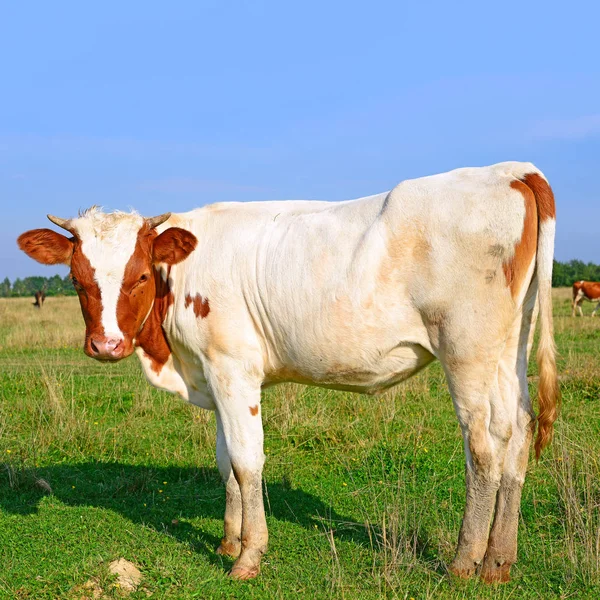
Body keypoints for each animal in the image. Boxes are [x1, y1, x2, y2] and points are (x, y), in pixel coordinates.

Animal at [17, 162, 556, 584]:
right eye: (76, 279)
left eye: (142, 275)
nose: (106, 345)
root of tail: (509, 170)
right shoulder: (214, 372)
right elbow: (225, 461)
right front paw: (228, 541)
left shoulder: (233, 368)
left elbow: (247, 460)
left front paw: (249, 556)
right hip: (510, 349)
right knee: (517, 432)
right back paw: (498, 561)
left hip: (466, 350)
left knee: (483, 446)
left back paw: (465, 561)